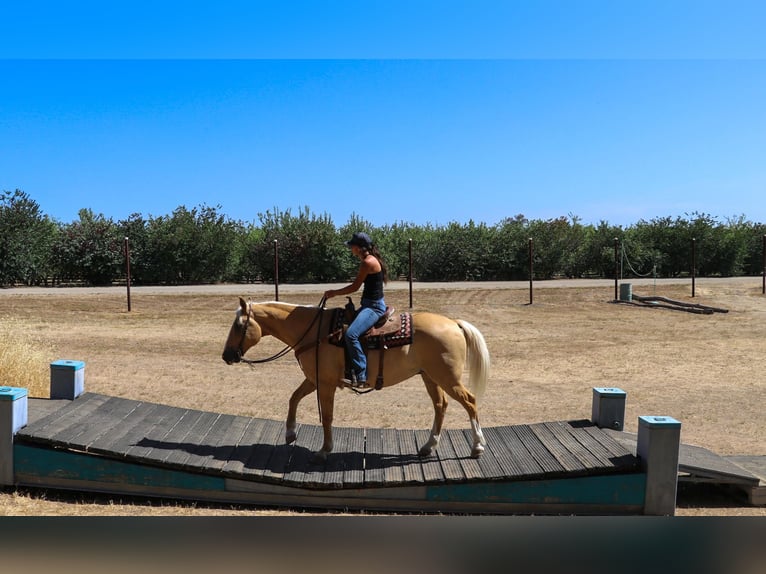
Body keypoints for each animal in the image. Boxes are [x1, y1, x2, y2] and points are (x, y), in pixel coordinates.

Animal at [221, 297, 490, 463]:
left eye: (238, 326)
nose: (226, 355)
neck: (315, 331)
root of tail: (453, 323)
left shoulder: (326, 384)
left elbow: (327, 416)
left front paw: (323, 451)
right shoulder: (315, 379)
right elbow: (293, 398)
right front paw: (290, 433)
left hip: (447, 377)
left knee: (470, 401)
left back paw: (477, 446)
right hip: (430, 377)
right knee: (440, 405)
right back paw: (428, 446)